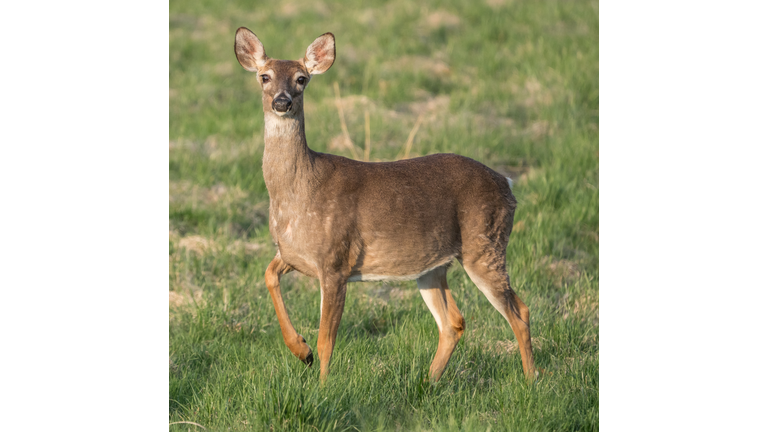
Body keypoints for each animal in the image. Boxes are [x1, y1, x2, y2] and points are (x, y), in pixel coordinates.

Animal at [234, 28, 536, 384]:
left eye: (302, 79)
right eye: (264, 76)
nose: (282, 102)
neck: (299, 192)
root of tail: (508, 184)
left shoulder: (336, 260)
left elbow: (326, 339)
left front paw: (321, 386)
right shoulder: (293, 254)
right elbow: (269, 275)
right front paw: (300, 350)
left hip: (484, 245)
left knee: (519, 311)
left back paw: (532, 380)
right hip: (434, 266)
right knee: (454, 322)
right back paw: (428, 382)